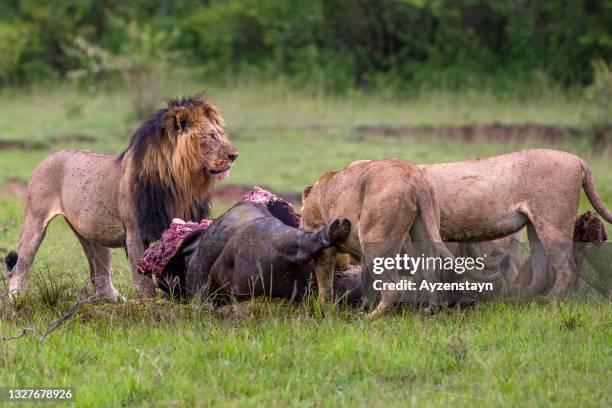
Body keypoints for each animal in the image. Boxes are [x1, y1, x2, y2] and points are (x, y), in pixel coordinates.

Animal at [5, 95, 239, 300]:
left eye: (221, 133)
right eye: (211, 136)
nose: (234, 155)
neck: (182, 183)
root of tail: (49, 155)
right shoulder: (135, 231)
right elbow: (142, 280)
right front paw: (149, 304)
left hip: (94, 234)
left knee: (99, 278)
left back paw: (118, 301)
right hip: (36, 219)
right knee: (21, 264)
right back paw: (16, 299)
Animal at [298, 159, 452, 316]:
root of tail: (415, 179)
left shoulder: (325, 247)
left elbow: (324, 284)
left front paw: (326, 311)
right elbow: (367, 282)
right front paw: (363, 306)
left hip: (374, 241)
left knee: (393, 288)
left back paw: (370, 317)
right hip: (425, 232)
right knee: (431, 273)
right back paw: (431, 310)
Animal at [418, 148, 608, 294]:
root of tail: (578, 160)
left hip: (552, 225)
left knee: (566, 270)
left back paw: (551, 300)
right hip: (534, 229)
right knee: (539, 274)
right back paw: (520, 297)